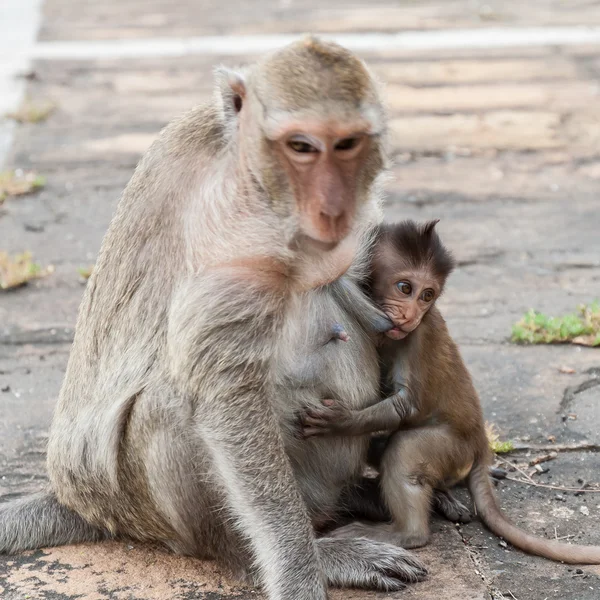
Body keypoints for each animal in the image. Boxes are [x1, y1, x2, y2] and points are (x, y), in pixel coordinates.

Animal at [0, 38, 426, 600]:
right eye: (301, 146)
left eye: (347, 144)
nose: (330, 201)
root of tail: (82, 502)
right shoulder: (229, 227)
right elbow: (227, 394)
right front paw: (301, 574)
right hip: (147, 509)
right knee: (173, 403)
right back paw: (276, 554)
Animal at [304, 219, 600, 564]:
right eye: (405, 288)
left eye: (427, 295)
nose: (411, 314)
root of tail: (481, 442)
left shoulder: (418, 336)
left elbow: (408, 407)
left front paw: (340, 421)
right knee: (380, 445)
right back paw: (442, 496)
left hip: (453, 448)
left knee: (405, 448)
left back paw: (407, 534)